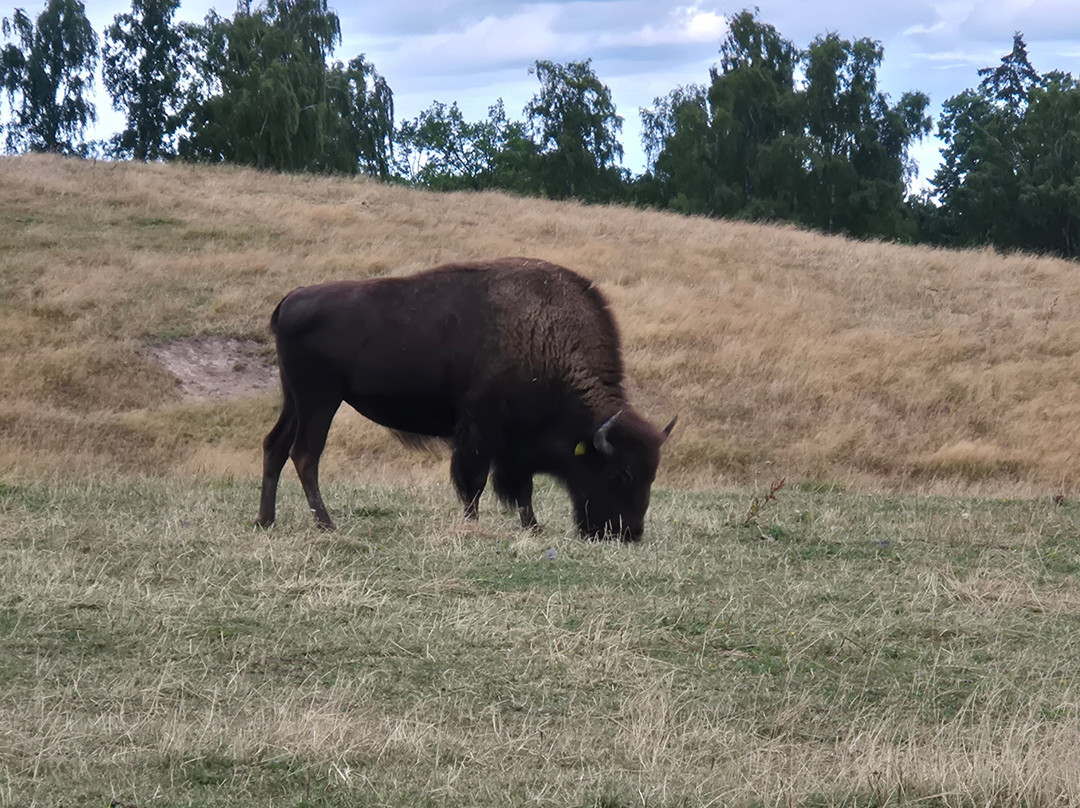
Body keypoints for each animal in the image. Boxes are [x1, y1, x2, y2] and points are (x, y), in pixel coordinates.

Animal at [255, 258, 675, 541]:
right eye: (621, 473)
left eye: (652, 474)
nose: (629, 533)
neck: (543, 335)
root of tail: (291, 298)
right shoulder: (480, 429)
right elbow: (474, 481)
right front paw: (473, 524)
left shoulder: (515, 445)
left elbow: (521, 489)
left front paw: (533, 527)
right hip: (320, 400)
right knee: (305, 454)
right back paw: (326, 523)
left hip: (294, 399)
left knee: (275, 446)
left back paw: (266, 520)